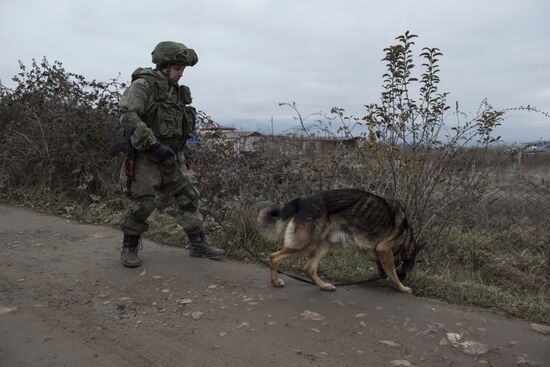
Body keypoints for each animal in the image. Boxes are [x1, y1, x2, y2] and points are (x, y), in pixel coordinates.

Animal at [258, 190, 422, 294]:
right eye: (406, 269)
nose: (405, 278)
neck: (406, 237)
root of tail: (303, 201)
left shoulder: (381, 253)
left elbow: (389, 270)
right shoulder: (384, 250)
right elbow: (393, 274)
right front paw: (402, 287)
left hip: (323, 245)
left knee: (309, 269)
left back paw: (324, 286)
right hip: (305, 245)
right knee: (274, 257)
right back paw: (276, 281)